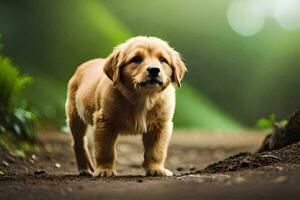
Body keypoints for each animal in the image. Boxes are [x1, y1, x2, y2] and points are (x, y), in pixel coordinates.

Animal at [66, 36, 186, 177]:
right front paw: (105, 170)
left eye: (162, 60)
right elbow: (105, 150)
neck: (144, 98)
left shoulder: (161, 125)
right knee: (78, 142)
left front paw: (156, 169)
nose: (154, 70)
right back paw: (84, 168)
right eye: (136, 59)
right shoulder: (104, 121)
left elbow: (156, 150)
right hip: (74, 115)